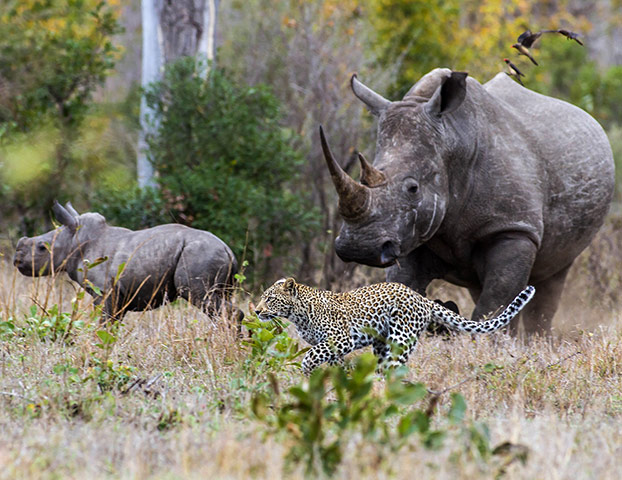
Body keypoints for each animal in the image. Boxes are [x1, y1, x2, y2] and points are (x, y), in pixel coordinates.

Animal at [255, 278, 536, 376]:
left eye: (269, 299)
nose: (256, 311)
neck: (299, 314)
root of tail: (421, 298)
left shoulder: (340, 339)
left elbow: (311, 356)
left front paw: (306, 371)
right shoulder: (331, 347)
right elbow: (329, 361)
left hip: (401, 340)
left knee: (396, 371)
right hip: (381, 345)